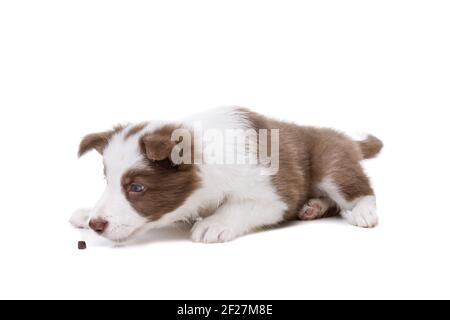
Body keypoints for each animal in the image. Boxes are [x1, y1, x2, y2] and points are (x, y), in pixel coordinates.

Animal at [71, 107, 384, 242]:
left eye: (136, 188)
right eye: (107, 181)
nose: (96, 225)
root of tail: (344, 137)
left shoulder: (276, 195)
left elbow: (240, 206)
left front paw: (214, 223)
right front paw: (85, 212)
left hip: (332, 162)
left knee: (361, 190)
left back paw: (363, 212)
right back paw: (313, 207)